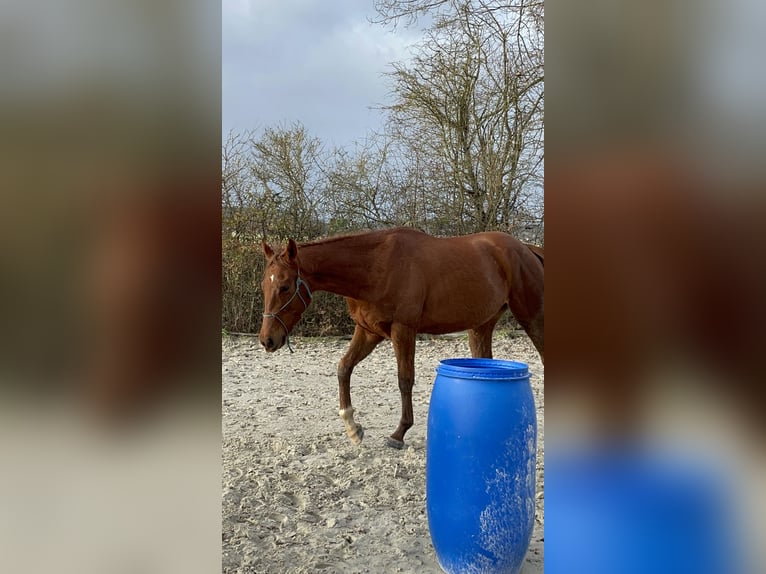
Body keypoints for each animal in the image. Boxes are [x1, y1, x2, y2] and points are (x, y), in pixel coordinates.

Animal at [260, 228, 544, 450]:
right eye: (264, 285)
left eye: (285, 286)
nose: (267, 340)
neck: (375, 267)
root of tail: (527, 250)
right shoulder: (368, 332)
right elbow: (344, 367)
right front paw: (353, 427)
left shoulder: (403, 331)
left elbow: (404, 380)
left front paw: (398, 434)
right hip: (481, 327)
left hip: (532, 318)